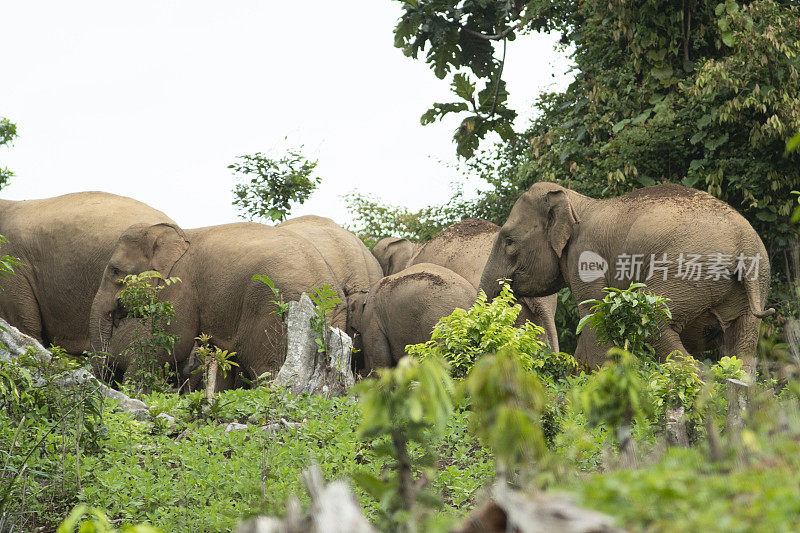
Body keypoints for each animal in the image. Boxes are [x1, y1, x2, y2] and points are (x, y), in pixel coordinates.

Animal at [478, 181, 772, 372]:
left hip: (687, 270)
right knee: (743, 344)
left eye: (508, 241)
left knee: (649, 318)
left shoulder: (585, 259)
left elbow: (594, 313)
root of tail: (745, 241)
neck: (578, 202)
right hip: (755, 281)